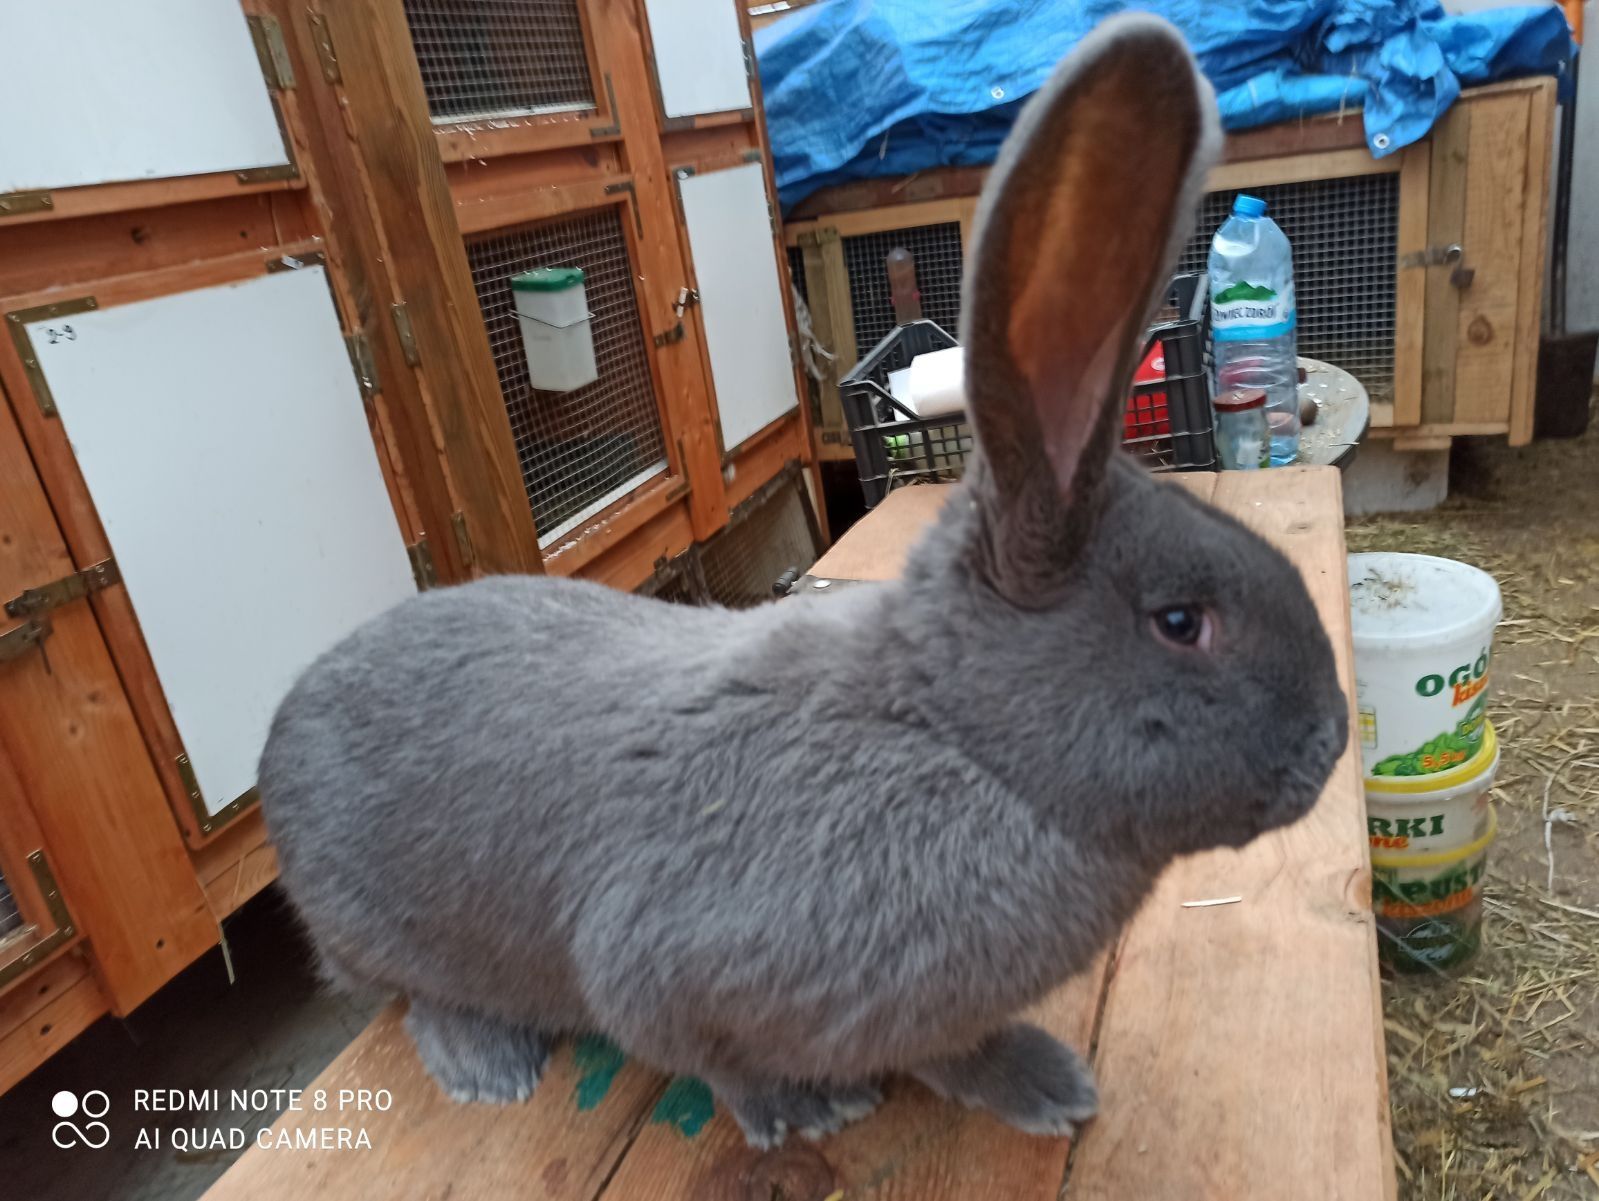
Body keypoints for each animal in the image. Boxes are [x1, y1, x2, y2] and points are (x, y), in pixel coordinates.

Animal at [259, 14, 1349, 1151]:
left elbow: (955, 1049)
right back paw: (487, 1066)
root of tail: (285, 726)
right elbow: (709, 1057)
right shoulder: (654, 965)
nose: (1331, 740)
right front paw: (806, 1111)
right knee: (417, 997)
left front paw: (1046, 1085)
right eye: (1181, 622)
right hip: (387, 932)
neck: (957, 738)